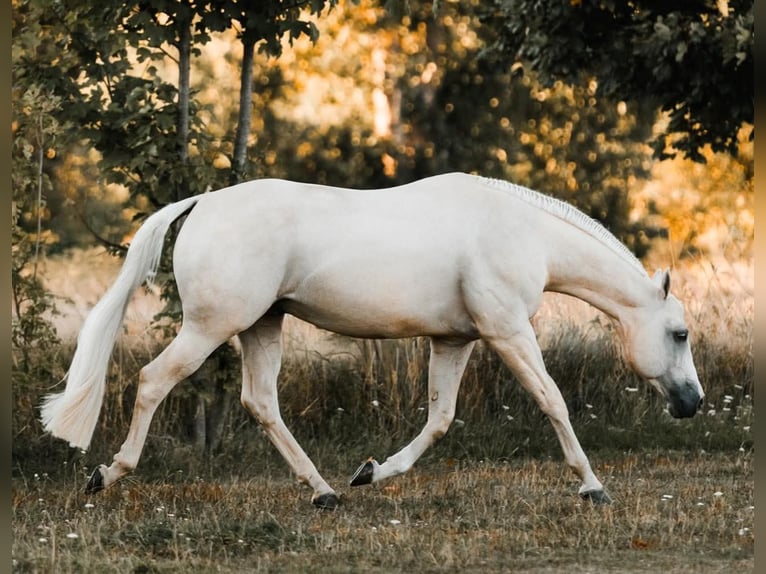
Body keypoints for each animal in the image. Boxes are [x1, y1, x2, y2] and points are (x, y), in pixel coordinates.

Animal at [40, 172, 704, 509]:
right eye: (679, 333)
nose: (693, 402)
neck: (521, 233)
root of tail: (201, 203)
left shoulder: (455, 341)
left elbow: (439, 419)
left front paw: (372, 472)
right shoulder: (508, 331)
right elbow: (552, 401)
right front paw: (592, 487)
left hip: (261, 325)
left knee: (261, 403)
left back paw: (326, 492)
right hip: (211, 327)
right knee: (153, 381)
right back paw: (106, 475)